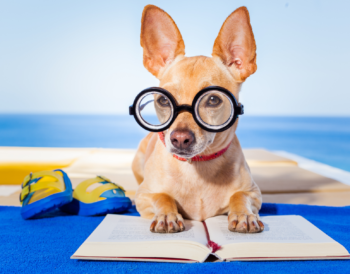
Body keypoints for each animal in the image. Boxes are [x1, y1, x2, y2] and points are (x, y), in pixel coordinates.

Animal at [131, 4, 262, 233]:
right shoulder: (144, 195)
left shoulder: (254, 193)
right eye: (163, 101)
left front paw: (244, 214)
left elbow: (240, 195)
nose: (180, 138)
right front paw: (167, 215)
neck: (197, 167)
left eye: (212, 99)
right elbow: (162, 197)